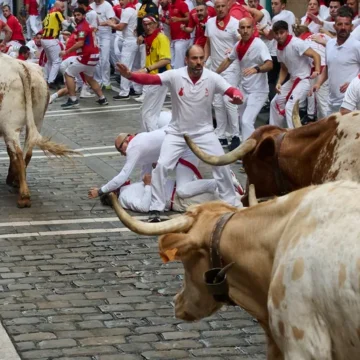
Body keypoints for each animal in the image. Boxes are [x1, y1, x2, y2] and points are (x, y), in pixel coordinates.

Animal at [0, 52, 77, 205]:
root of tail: (19, 66)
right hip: (37, 119)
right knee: (26, 151)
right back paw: (16, 181)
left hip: (9, 125)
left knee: (18, 153)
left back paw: (23, 196)